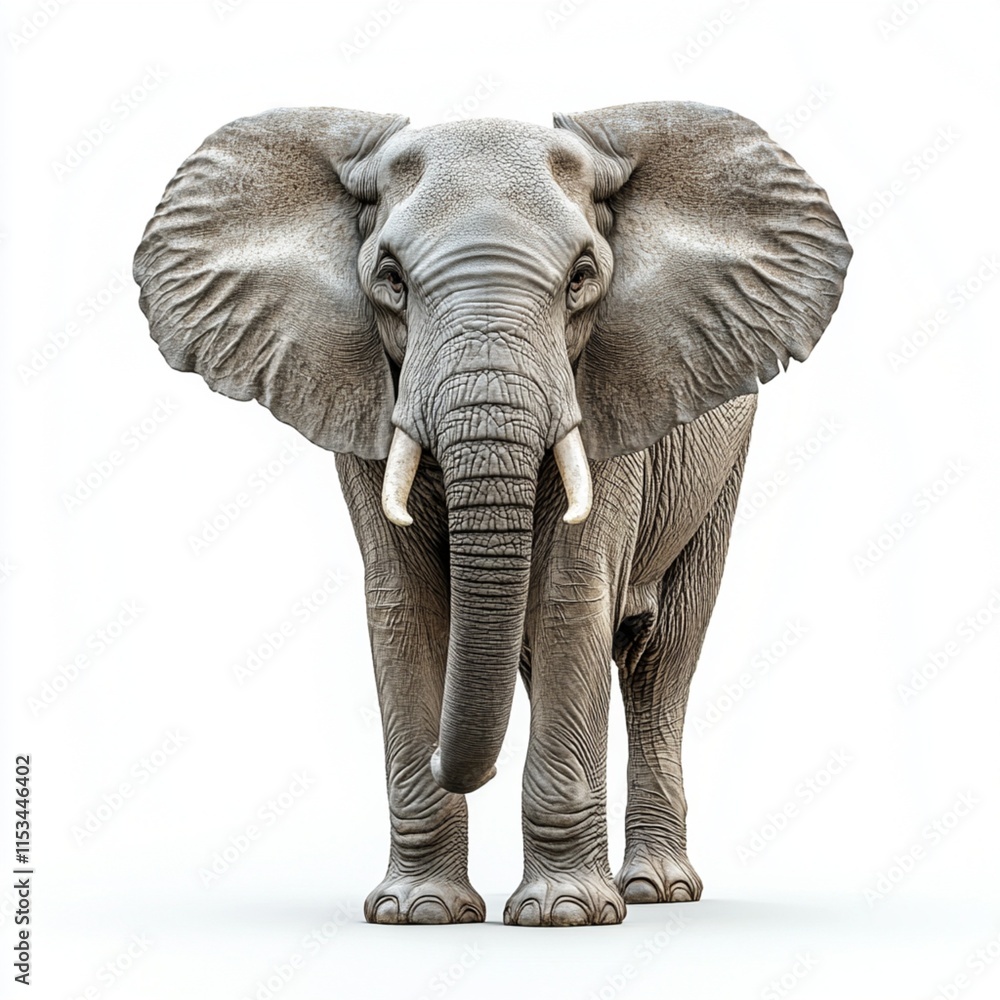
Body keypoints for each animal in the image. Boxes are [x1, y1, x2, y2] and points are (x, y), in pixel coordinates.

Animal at [133, 100, 851, 927]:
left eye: (582, 279)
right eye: (390, 280)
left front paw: (566, 915)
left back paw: (653, 892)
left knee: (659, 659)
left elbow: (572, 598)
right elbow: (404, 605)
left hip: (722, 464)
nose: (448, 762)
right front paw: (418, 912)